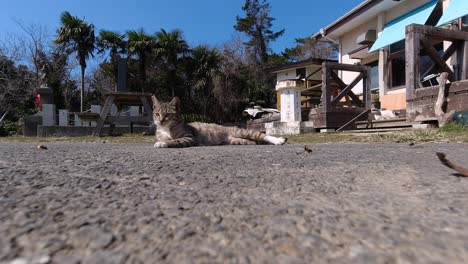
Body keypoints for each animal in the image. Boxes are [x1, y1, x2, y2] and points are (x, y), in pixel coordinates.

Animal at [152, 95, 288, 148]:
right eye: (157, 114)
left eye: (168, 114)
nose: (160, 121)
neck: (166, 128)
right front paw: (162, 140)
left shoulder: (188, 137)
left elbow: (175, 140)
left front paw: (162, 143)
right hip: (236, 141)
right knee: (254, 141)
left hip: (242, 132)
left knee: (262, 135)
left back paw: (278, 140)